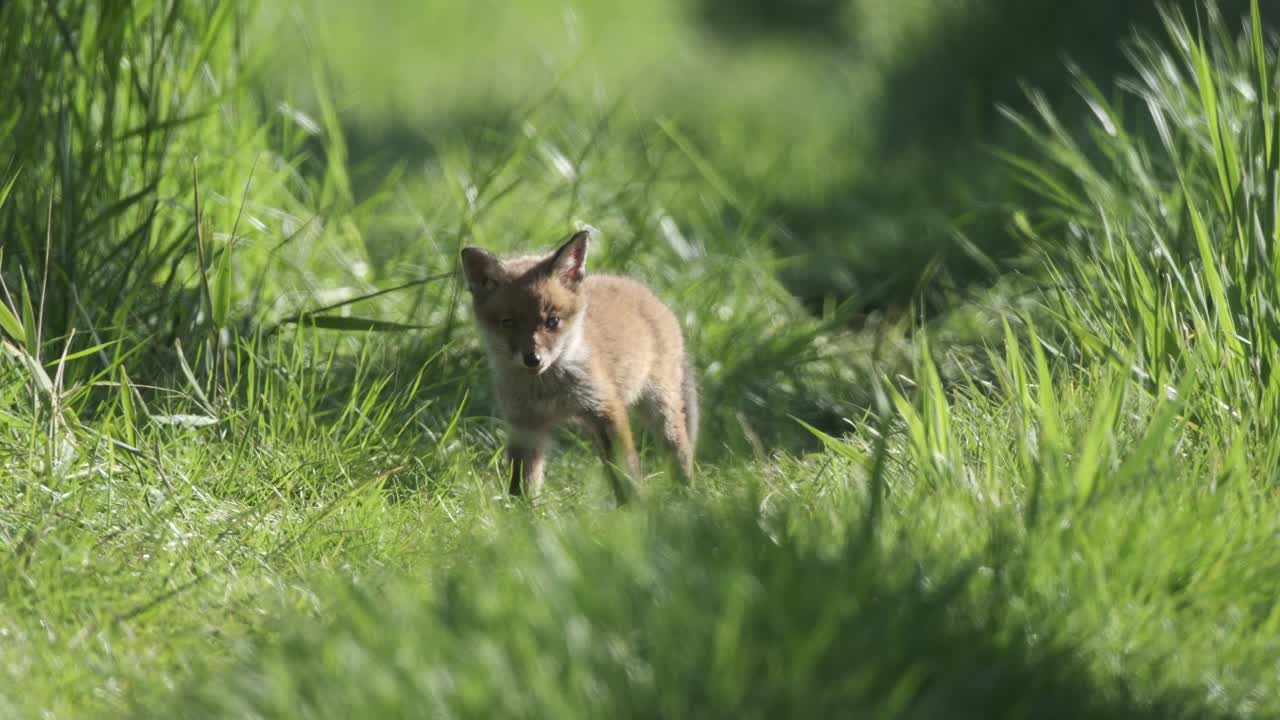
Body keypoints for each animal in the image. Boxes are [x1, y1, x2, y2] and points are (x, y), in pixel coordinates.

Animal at [460, 229, 697, 504]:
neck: (547, 391)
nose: (533, 359)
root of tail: (646, 291)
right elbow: (523, 479)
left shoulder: (606, 408)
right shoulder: (524, 423)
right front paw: (521, 511)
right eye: (508, 322)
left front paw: (635, 508)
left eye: (552, 321)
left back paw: (687, 493)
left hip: (661, 407)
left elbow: (626, 471)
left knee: (680, 450)